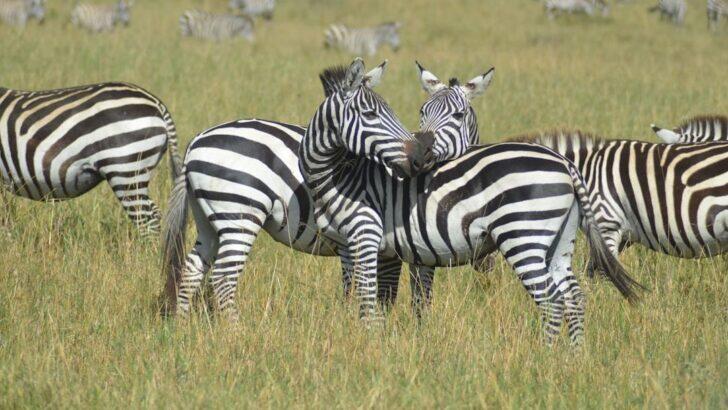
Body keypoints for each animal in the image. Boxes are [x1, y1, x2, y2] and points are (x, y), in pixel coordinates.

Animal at [160, 64, 493, 320]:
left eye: (459, 115)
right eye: (422, 112)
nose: (421, 156)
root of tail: (197, 141)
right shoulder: (392, 248)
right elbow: (394, 294)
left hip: (209, 218)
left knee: (191, 270)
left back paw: (182, 328)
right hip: (239, 214)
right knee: (224, 277)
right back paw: (234, 333)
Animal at [298, 59, 641, 345]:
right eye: (370, 115)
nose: (417, 158)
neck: (345, 174)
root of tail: (565, 162)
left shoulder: (366, 235)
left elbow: (369, 300)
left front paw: (369, 344)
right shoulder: (361, 246)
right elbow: (368, 297)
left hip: (523, 236)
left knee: (552, 301)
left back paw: (546, 357)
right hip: (558, 241)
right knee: (573, 297)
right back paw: (573, 356)